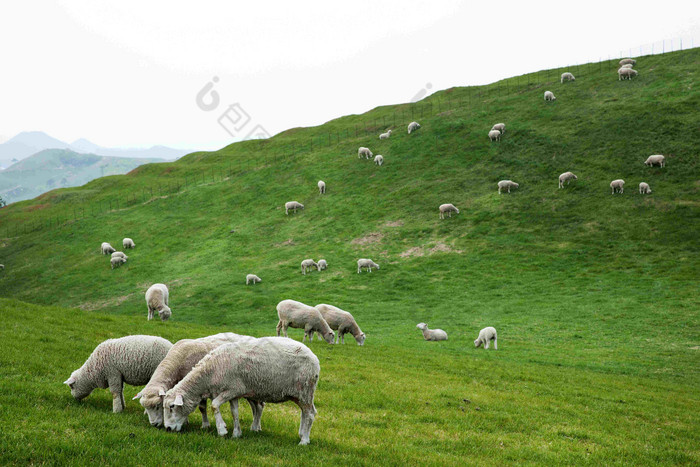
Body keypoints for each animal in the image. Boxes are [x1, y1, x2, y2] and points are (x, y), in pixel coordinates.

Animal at [131, 332, 262, 432]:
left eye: (158, 406)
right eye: (145, 407)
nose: (154, 424)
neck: (178, 359)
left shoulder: (200, 386)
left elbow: (202, 407)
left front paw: (205, 425)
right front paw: (185, 421)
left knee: (259, 405)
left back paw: (256, 427)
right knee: (255, 406)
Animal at [163, 336, 318, 446]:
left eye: (172, 406)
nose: (168, 429)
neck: (210, 372)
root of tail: (315, 358)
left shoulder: (232, 389)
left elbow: (214, 405)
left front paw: (222, 430)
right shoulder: (234, 393)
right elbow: (234, 412)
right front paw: (236, 434)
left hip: (305, 390)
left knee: (310, 414)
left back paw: (304, 441)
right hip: (299, 394)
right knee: (305, 413)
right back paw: (302, 435)